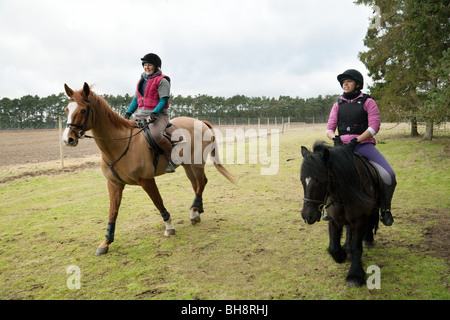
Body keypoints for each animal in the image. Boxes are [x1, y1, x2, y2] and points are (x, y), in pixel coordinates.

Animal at [62, 82, 236, 255]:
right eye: (67, 109)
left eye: (83, 110)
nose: (67, 139)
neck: (120, 144)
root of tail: (200, 123)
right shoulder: (114, 184)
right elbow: (113, 212)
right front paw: (105, 242)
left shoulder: (146, 180)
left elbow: (158, 202)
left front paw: (169, 226)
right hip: (188, 165)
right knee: (197, 185)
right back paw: (197, 210)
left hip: (197, 163)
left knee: (202, 182)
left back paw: (194, 212)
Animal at [300, 141, 382, 286]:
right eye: (301, 180)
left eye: (321, 180)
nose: (307, 215)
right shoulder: (334, 220)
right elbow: (333, 247)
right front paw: (342, 255)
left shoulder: (359, 221)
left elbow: (357, 247)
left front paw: (355, 275)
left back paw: (367, 239)